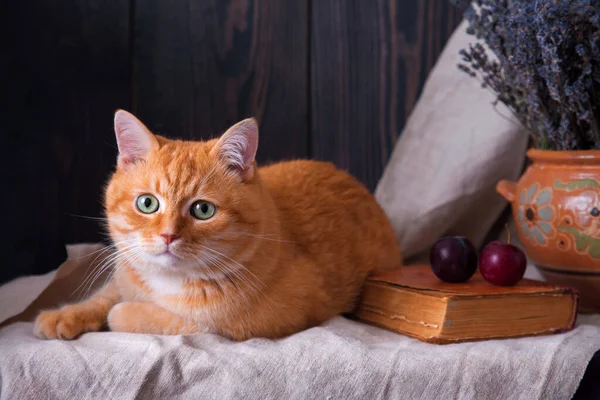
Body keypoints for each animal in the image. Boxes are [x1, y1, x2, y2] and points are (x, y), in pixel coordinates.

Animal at [31, 110, 398, 340]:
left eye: (203, 210)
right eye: (147, 203)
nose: (167, 235)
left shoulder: (256, 322)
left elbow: (135, 314)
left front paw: (122, 313)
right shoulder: (126, 270)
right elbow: (105, 294)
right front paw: (66, 314)